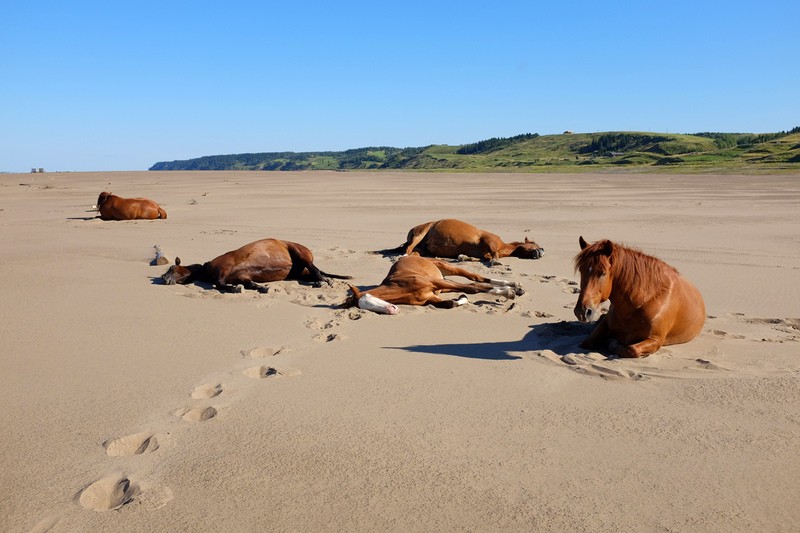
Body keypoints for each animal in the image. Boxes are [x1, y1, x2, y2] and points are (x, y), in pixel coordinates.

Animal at [344, 252, 524, 312]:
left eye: (371, 299)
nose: (391, 309)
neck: (402, 288)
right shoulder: (431, 296)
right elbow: (449, 304)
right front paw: (462, 298)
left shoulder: (436, 283)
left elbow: (472, 289)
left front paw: (508, 293)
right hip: (444, 283)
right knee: (475, 282)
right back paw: (515, 287)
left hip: (447, 270)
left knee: (475, 279)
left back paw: (512, 286)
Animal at [376, 217, 544, 262]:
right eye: (535, 243)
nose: (542, 250)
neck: (503, 246)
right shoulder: (489, 241)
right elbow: (493, 256)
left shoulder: (483, 253)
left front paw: (462, 257)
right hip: (420, 234)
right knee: (407, 249)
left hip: (421, 249)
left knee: (414, 253)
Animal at [572, 236, 704, 358]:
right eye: (581, 270)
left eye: (603, 273)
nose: (581, 311)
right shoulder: (604, 326)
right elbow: (587, 342)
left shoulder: (655, 340)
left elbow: (630, 349)